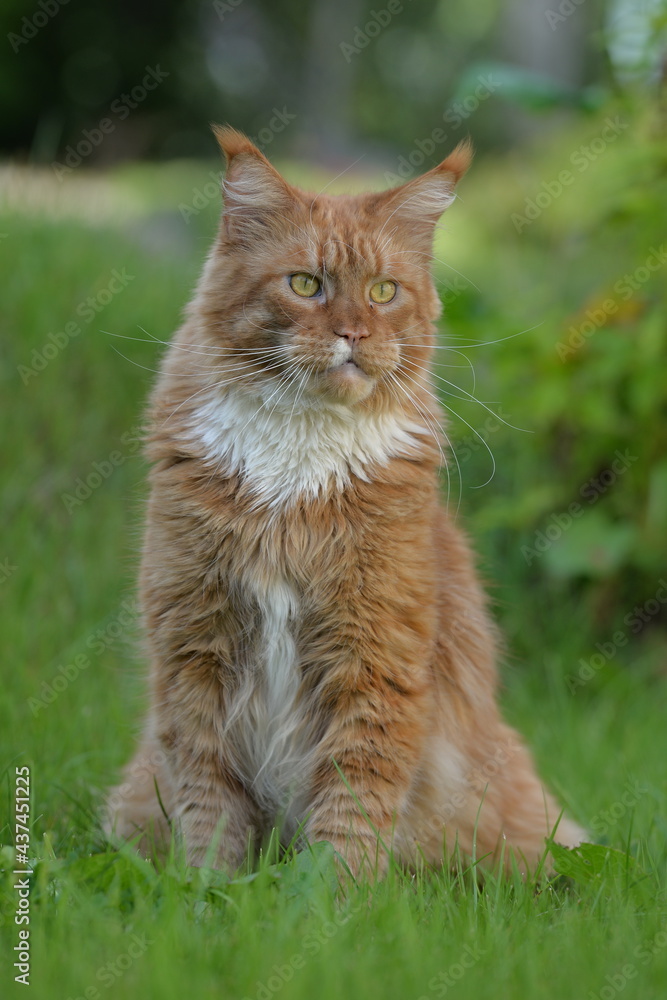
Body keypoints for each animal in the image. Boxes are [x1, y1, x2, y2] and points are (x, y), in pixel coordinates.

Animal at [105, 127, 584, 876]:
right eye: (306, 284)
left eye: (384, 292)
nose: (354, 334)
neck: (293, 467)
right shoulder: (194, 650)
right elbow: (209, 807)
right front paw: (208, 889)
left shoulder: (376, 659)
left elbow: (352, 811)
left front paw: (330, 897)